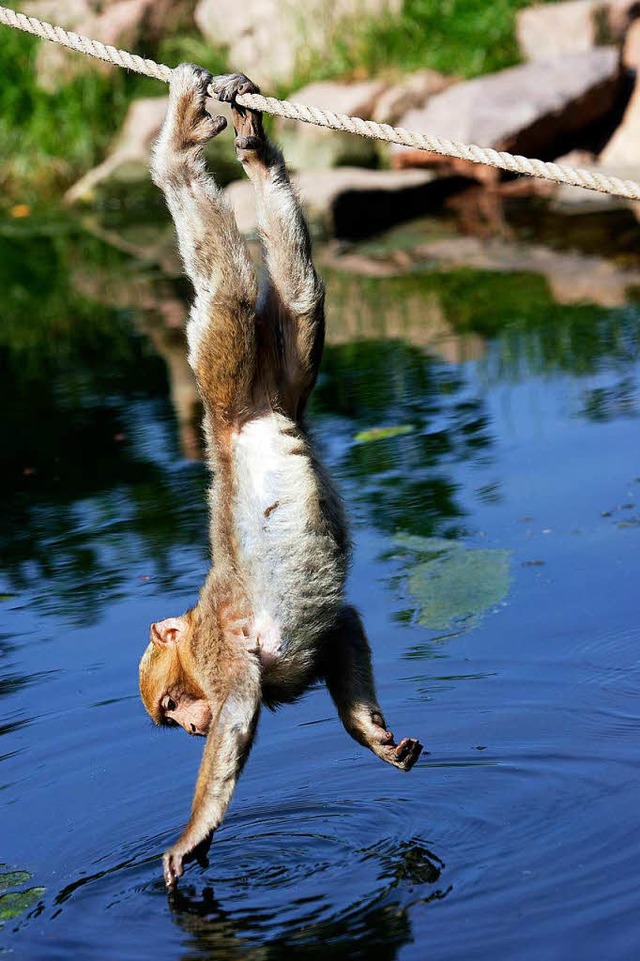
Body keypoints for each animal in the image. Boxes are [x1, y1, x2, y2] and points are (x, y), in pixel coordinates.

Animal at [138, 65, 422, 892]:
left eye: (175, 702)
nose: (186, 726)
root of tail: (237, 424)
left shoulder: (216, 652)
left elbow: (237, 712)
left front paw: (192, 833)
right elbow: (342, 628)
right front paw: (375, 738)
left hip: (222, 362)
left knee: (228, 280)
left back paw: (178, 151)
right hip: (282, 375)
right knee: (298, 294)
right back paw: (258, 158)